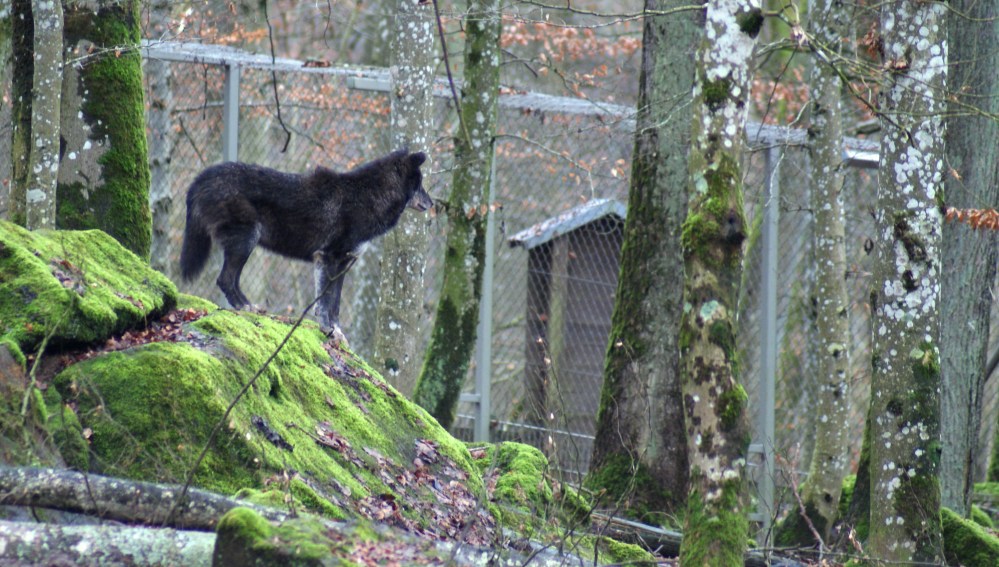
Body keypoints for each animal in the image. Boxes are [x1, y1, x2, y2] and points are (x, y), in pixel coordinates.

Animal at [180, 149, 432, 334]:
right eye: (420, 183)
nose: (432, 203)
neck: (367, 197)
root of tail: (200, 178)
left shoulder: (342, 263)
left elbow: (335, 304)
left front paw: (338, 334)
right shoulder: (329, 258)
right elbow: (325, 303)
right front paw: (327, 329)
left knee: (231, 280)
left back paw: (251, 308)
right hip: (246, 241)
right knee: (225, 279)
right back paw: (245, 307)